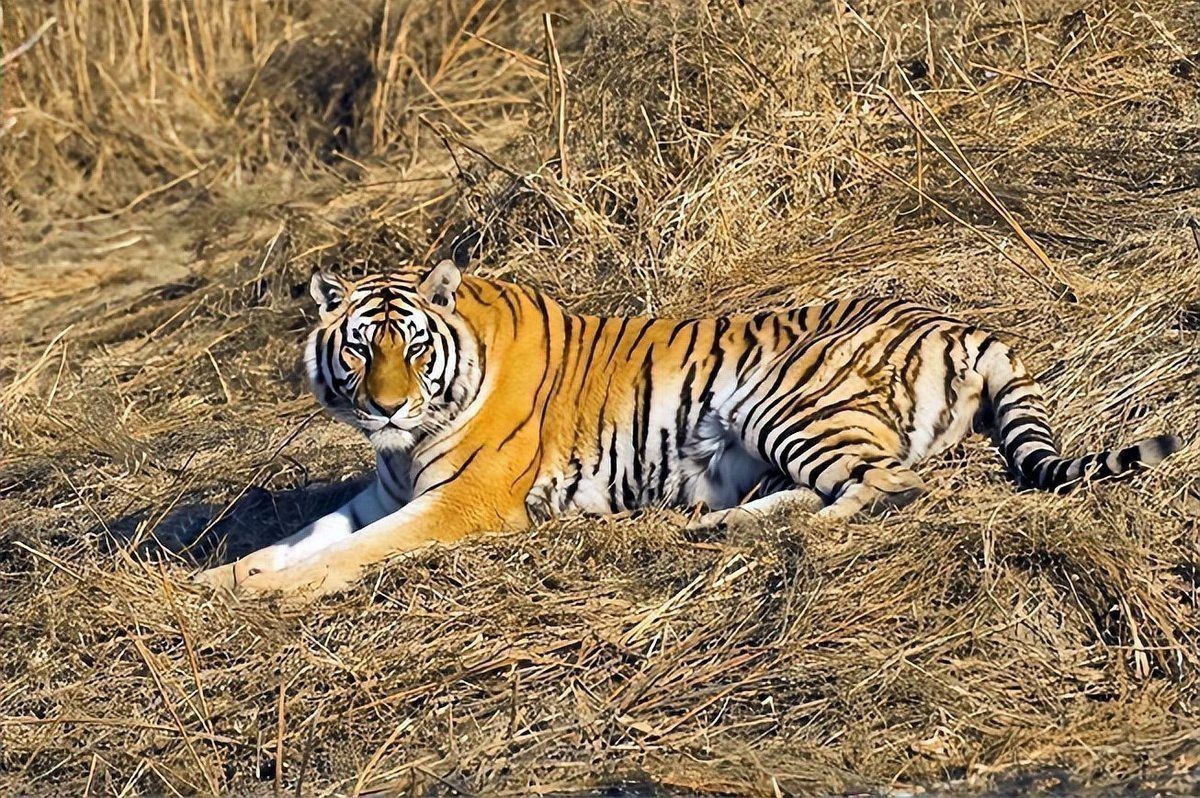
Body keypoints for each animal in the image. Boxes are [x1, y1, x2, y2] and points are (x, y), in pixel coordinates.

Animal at [195, 260, 1182, 594]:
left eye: (411, 349)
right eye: (362, 351)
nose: (389, 405)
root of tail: (961, 323)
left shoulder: (464, 501)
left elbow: (356, 551)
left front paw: (274, 594)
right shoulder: (381, 490)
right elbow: (302, 533)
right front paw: (222, 582)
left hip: (782, 395)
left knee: (886, 486)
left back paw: (777, 535)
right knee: (815, 489)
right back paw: (710, 527)